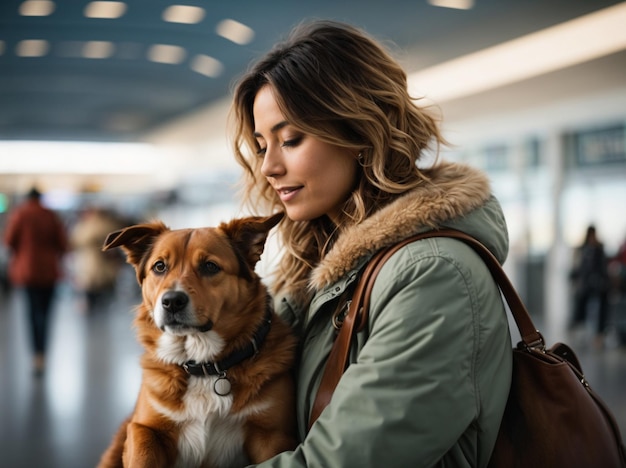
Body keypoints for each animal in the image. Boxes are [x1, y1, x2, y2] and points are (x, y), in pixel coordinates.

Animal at [97, 213, 298, 468]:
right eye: (159, 266)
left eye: (210, 266)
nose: (172, 301)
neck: (202, 366)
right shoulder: (143, 429)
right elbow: (143, 453)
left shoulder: (272, 437)